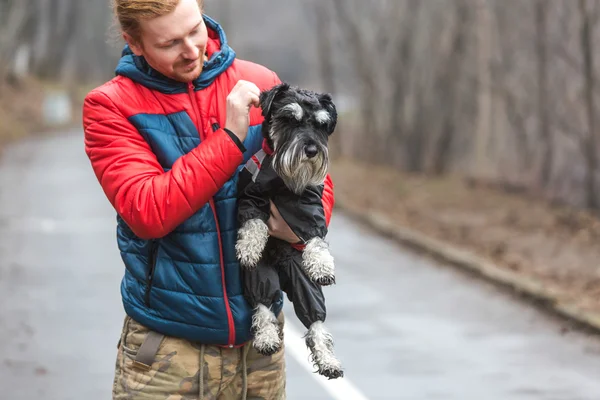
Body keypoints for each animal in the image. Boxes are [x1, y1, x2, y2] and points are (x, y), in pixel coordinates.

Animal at [237, 83, 344, 378]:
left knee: (315, 321)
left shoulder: (309, 203)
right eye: (289, 119)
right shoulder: (251, 197)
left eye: (320, 124)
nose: (311, 149)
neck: (284, 180)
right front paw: (248, 248)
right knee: (263, 304)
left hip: (302, 280)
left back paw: (328, 362)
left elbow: (316, 236)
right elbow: (253, 223)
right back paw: (266, 339)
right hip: (261, 275)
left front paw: (323, 266)